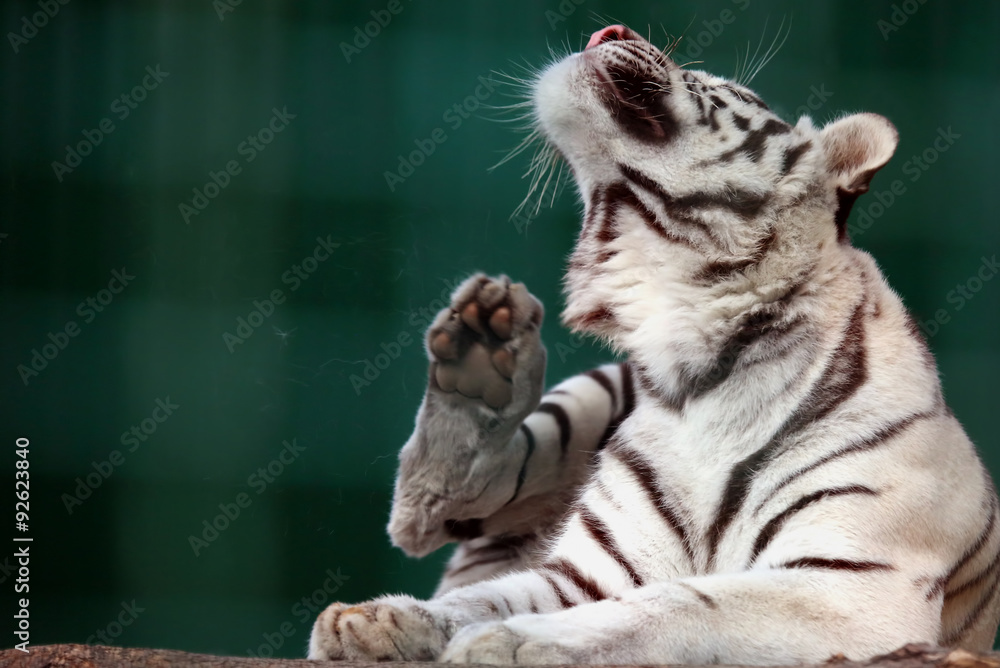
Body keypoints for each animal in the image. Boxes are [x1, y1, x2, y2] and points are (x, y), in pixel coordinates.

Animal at [308, 24, 1000, 664]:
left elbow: (681, 602)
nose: (608, 30)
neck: (696, 355)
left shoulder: (853, 586)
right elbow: (484, 597)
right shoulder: (586, 571)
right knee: (434, 512)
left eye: (726, 87)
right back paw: (480, 357)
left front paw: (504, 642)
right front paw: (382, 620)